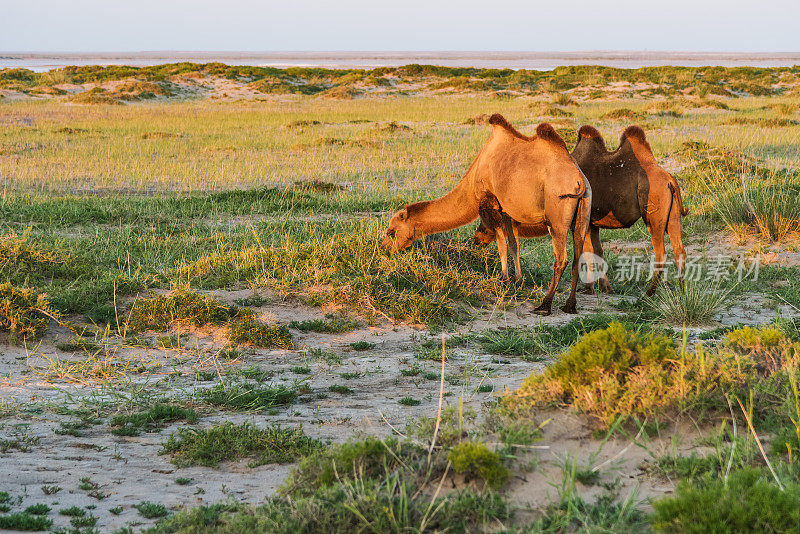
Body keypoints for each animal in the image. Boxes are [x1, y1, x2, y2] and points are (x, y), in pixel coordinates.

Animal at [378, 113, 592, 314]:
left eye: (391, 231)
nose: (384, 249)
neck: (474, 177)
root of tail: (579, 180)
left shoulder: (490, 203)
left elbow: (501, 245)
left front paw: (504, 281)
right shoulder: (507, 211)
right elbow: (513, 245)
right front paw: (518, 281)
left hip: (557, 213)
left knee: (561, 258)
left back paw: (544, 305)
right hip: (583, 210)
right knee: (577, 255)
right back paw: (570, 305)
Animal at [476, 124, 688, 298]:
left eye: (485, 221)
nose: (476, 238)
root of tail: (670, 180)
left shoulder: (580, 222)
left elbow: (587, 252)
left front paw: (589, 288)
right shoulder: (593, 224)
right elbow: (598, 251)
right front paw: (605, 287)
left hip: (654, 216)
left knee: (661, 253)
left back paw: (649, 293)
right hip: (672, 217)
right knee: (679, 249)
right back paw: (681, 290)